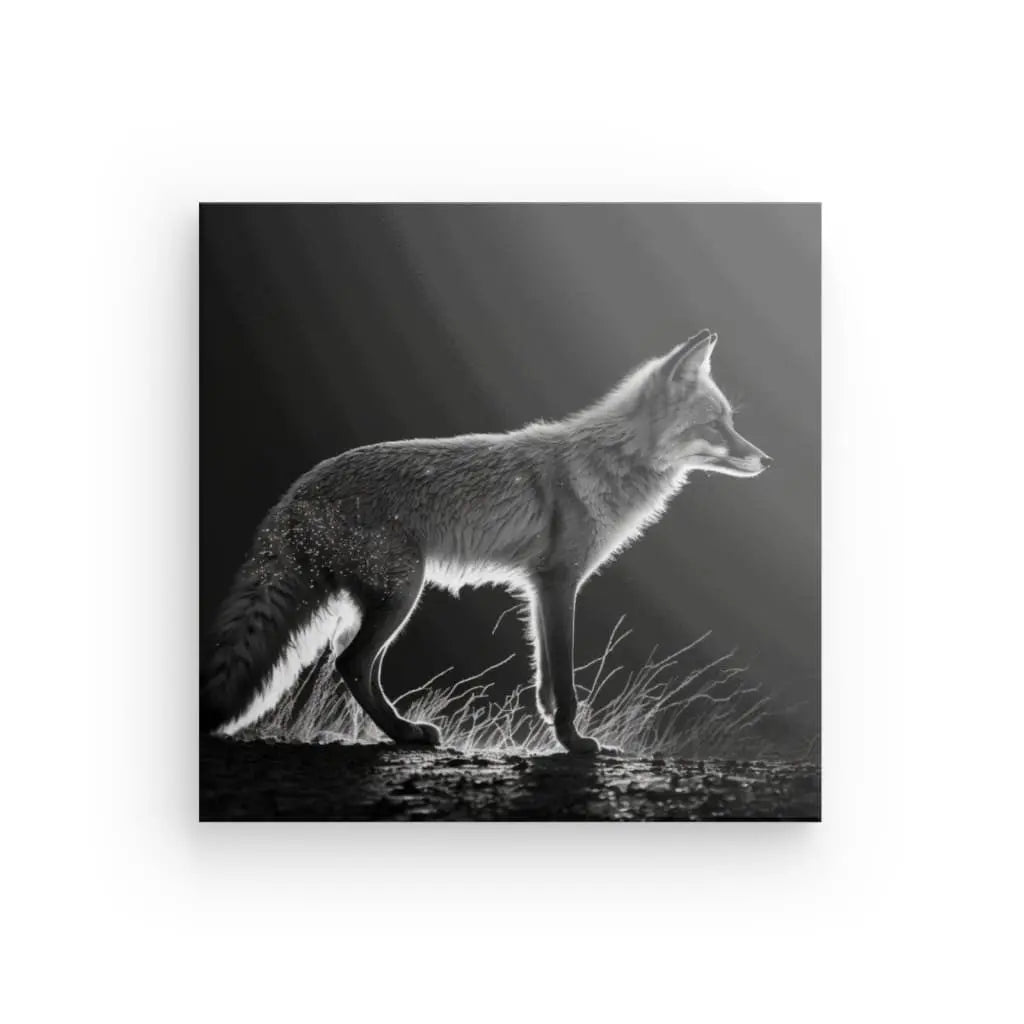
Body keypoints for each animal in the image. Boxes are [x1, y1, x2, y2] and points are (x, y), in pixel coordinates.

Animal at [200, 328, 771, 753]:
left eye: (729, 422)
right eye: (715, 424)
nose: (765, 459)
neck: (610, 462)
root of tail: (296, 491)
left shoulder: (538, 588)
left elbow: (545, 678)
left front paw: (556, 730)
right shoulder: (560, 582)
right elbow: (565, 680)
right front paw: (575, 743)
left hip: (384, 599)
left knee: (351, 661)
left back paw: (399, 731)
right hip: (402, 594)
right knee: (352, 664)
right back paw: (406, 735)